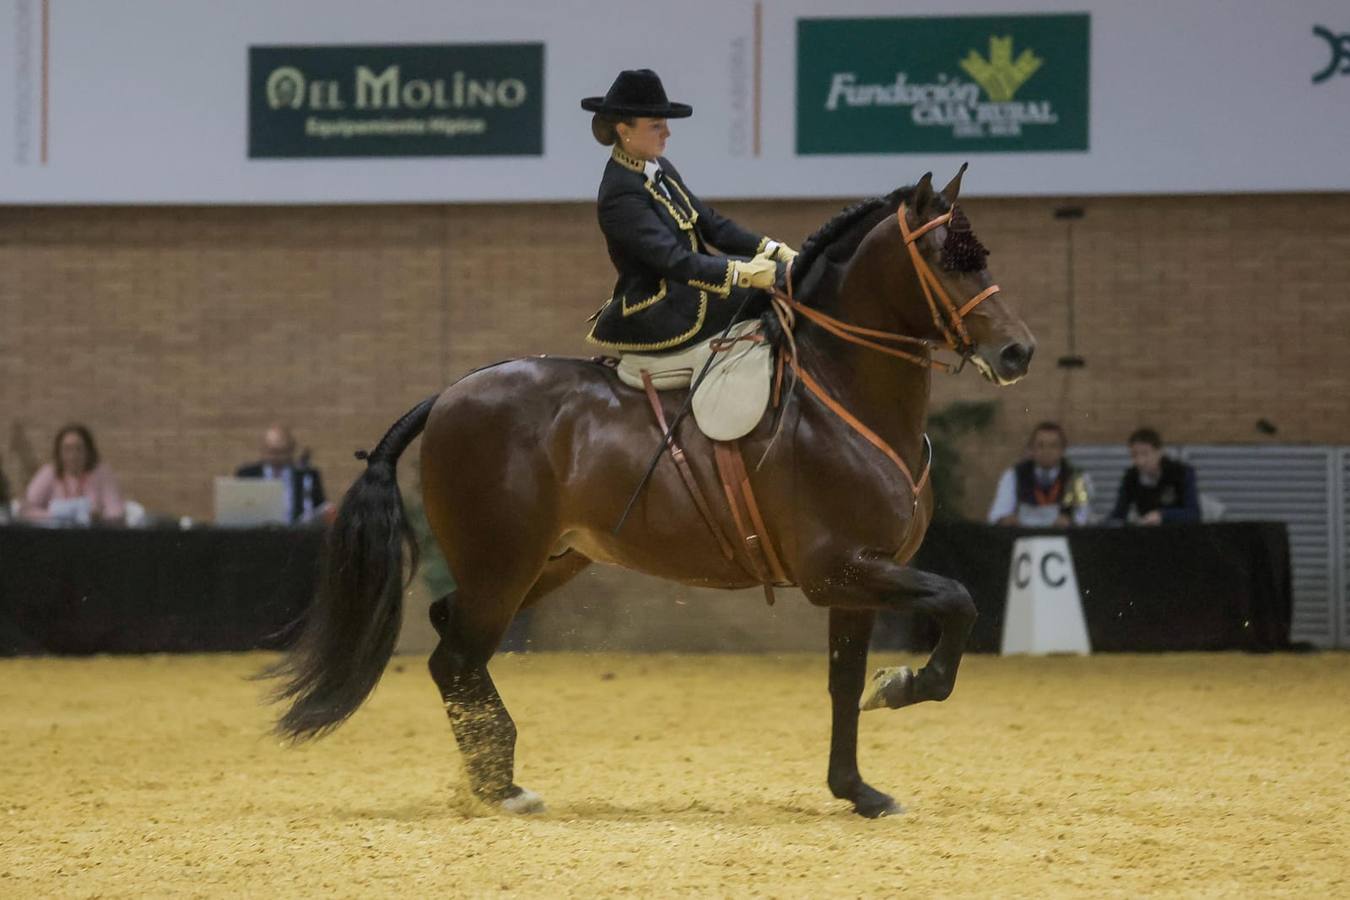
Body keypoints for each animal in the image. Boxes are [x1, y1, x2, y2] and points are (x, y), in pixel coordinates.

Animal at [265, 165, 1042, 820]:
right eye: (946, 259)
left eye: (982, 255)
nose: (1018, 352)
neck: (842, 390)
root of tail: (450, 394)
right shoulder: (840, 570)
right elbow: (958, 603)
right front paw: (903, 685)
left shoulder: (859, 579)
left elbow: (844, 683)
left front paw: (857, 790)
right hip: (502, 567)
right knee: (453, 656)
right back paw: (499, 789)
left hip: (545, 564)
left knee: (452, 638)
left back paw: (496, 774)